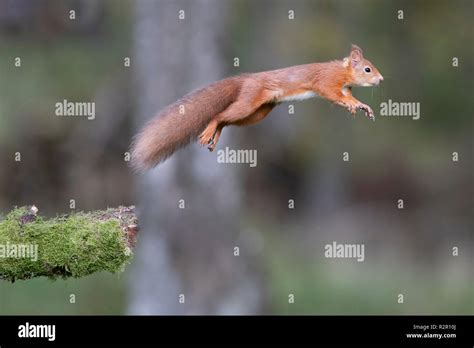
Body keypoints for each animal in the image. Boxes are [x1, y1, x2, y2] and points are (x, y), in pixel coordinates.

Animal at [130, 44, 382, 169]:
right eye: (367, 69)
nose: (380, 80)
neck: (343, 73)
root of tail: (246, 79)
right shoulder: (327, 82)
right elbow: (332, 94)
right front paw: (351, 105)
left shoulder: (345, 88)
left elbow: (350, 99)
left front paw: (361, 106)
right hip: (249, 102)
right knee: (219, 115)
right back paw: (209, 130)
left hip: (257, 113)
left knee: (226, 120)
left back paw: (216, 135)